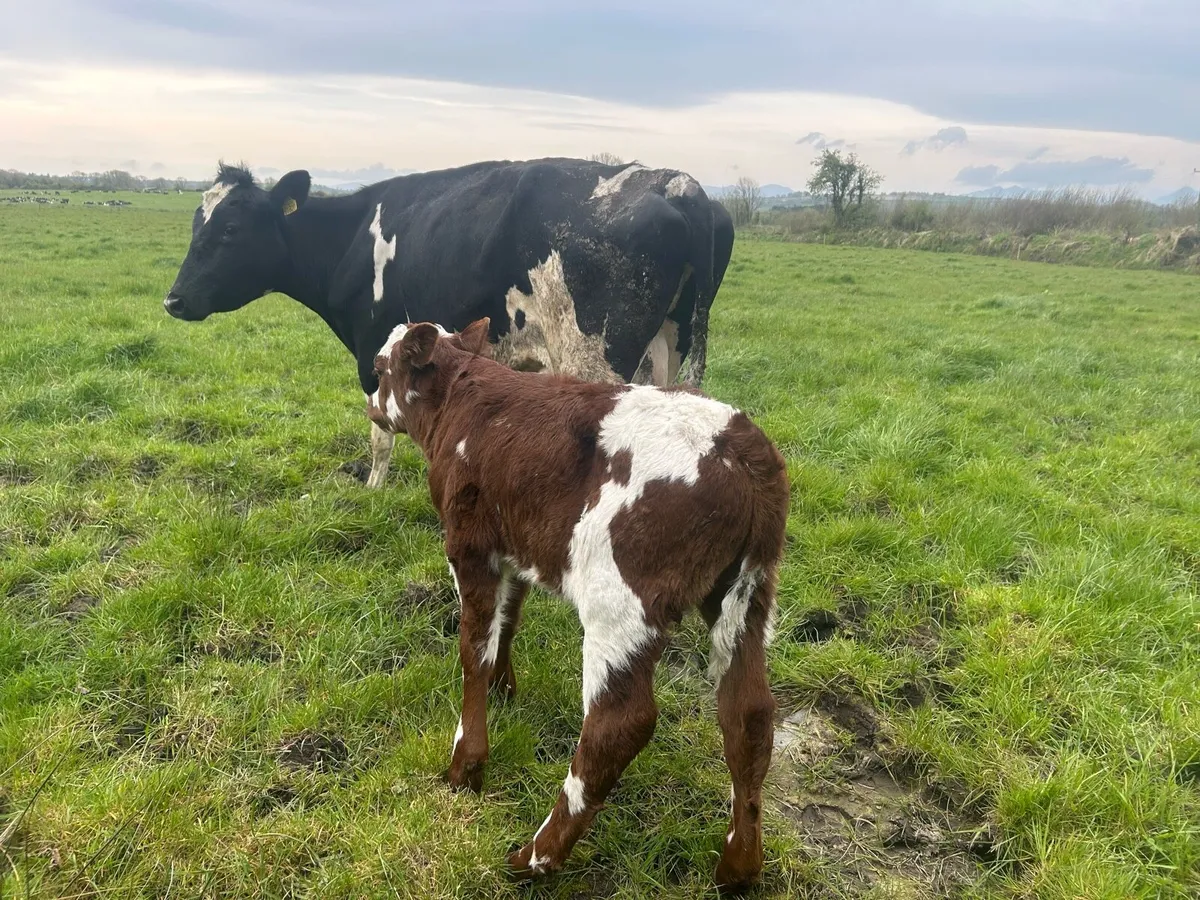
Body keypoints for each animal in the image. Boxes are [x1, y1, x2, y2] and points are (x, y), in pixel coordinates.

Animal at [163, 159, 735, 488]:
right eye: (193, 224)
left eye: (230, 229)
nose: (173, 299)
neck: (348, 240)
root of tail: (677, 183)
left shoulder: (373, 346)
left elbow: (380, 431)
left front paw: (373, 491)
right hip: (669, 346)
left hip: (595, 355)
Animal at [366, 318, 788, 891]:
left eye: (380, 367)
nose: (369, 401)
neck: (459, 401)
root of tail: (741, 449)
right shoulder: (517, 545)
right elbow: (508, 619)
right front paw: (504, 689)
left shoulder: (469, 545)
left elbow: (473, 645)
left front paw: (466, 768)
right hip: (748, 593)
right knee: (749, 718)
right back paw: (738, 869)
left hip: (622, 598)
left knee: (619, 725)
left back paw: (537, 857)